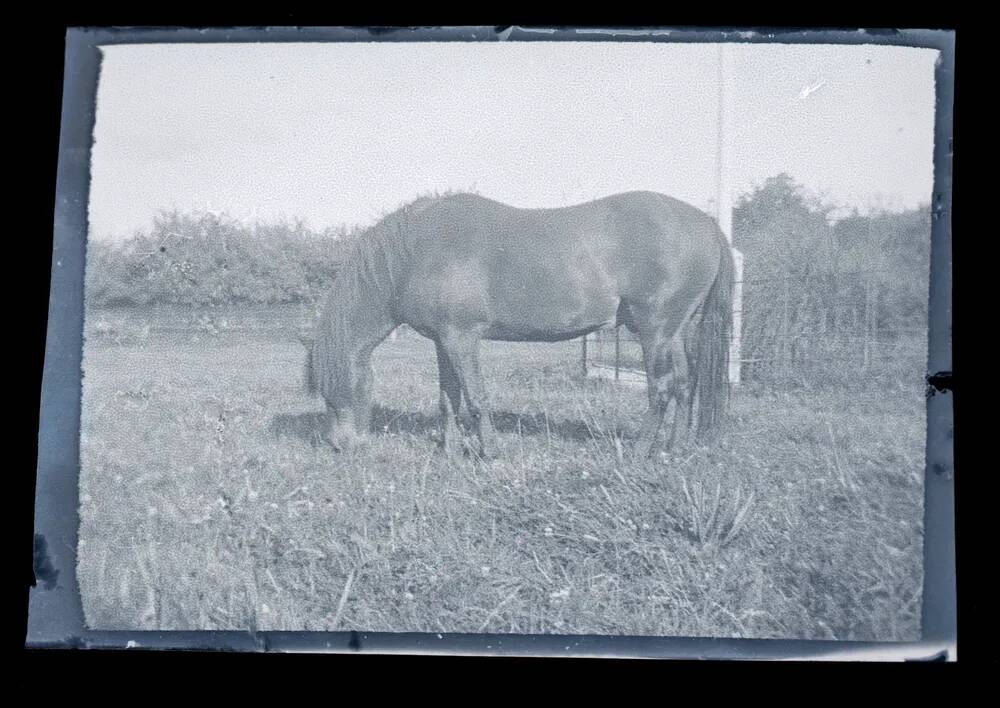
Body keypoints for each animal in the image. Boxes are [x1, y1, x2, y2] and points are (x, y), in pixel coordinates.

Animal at [300, 192, 732, 460]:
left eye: (330, 385)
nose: (340, 446)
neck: (417, 251)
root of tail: (708, 222)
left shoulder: (462, 339)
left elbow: (475, 398)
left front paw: (489, 452)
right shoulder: (443, 341)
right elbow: (447, 399)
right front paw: (449, 451)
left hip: (654, 329)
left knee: (661, 388)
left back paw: (641, 451)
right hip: (673, 331)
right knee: (684, 384)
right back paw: (672, 448)